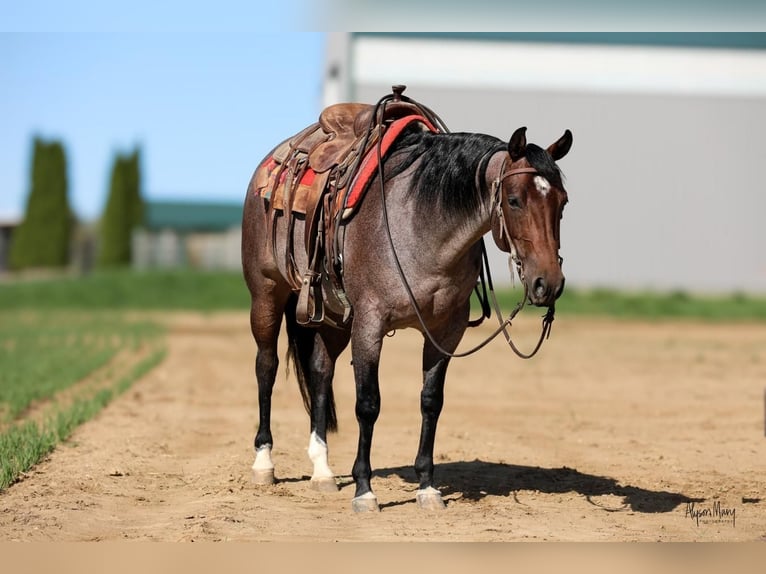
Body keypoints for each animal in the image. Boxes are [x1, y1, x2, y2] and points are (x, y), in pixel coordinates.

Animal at [243, 89, 572, 512]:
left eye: (563, 202)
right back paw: (264, 463)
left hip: (334, 316)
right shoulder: (370, 323)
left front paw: (427, 487)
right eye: (514, 200)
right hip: (266, 294)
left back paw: (323, 471)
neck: (420, 222)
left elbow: (431, 401)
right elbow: (368, 403)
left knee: (320, 371)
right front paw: (364, 490)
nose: (549, 283)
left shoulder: (446, 331)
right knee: (265, 367)